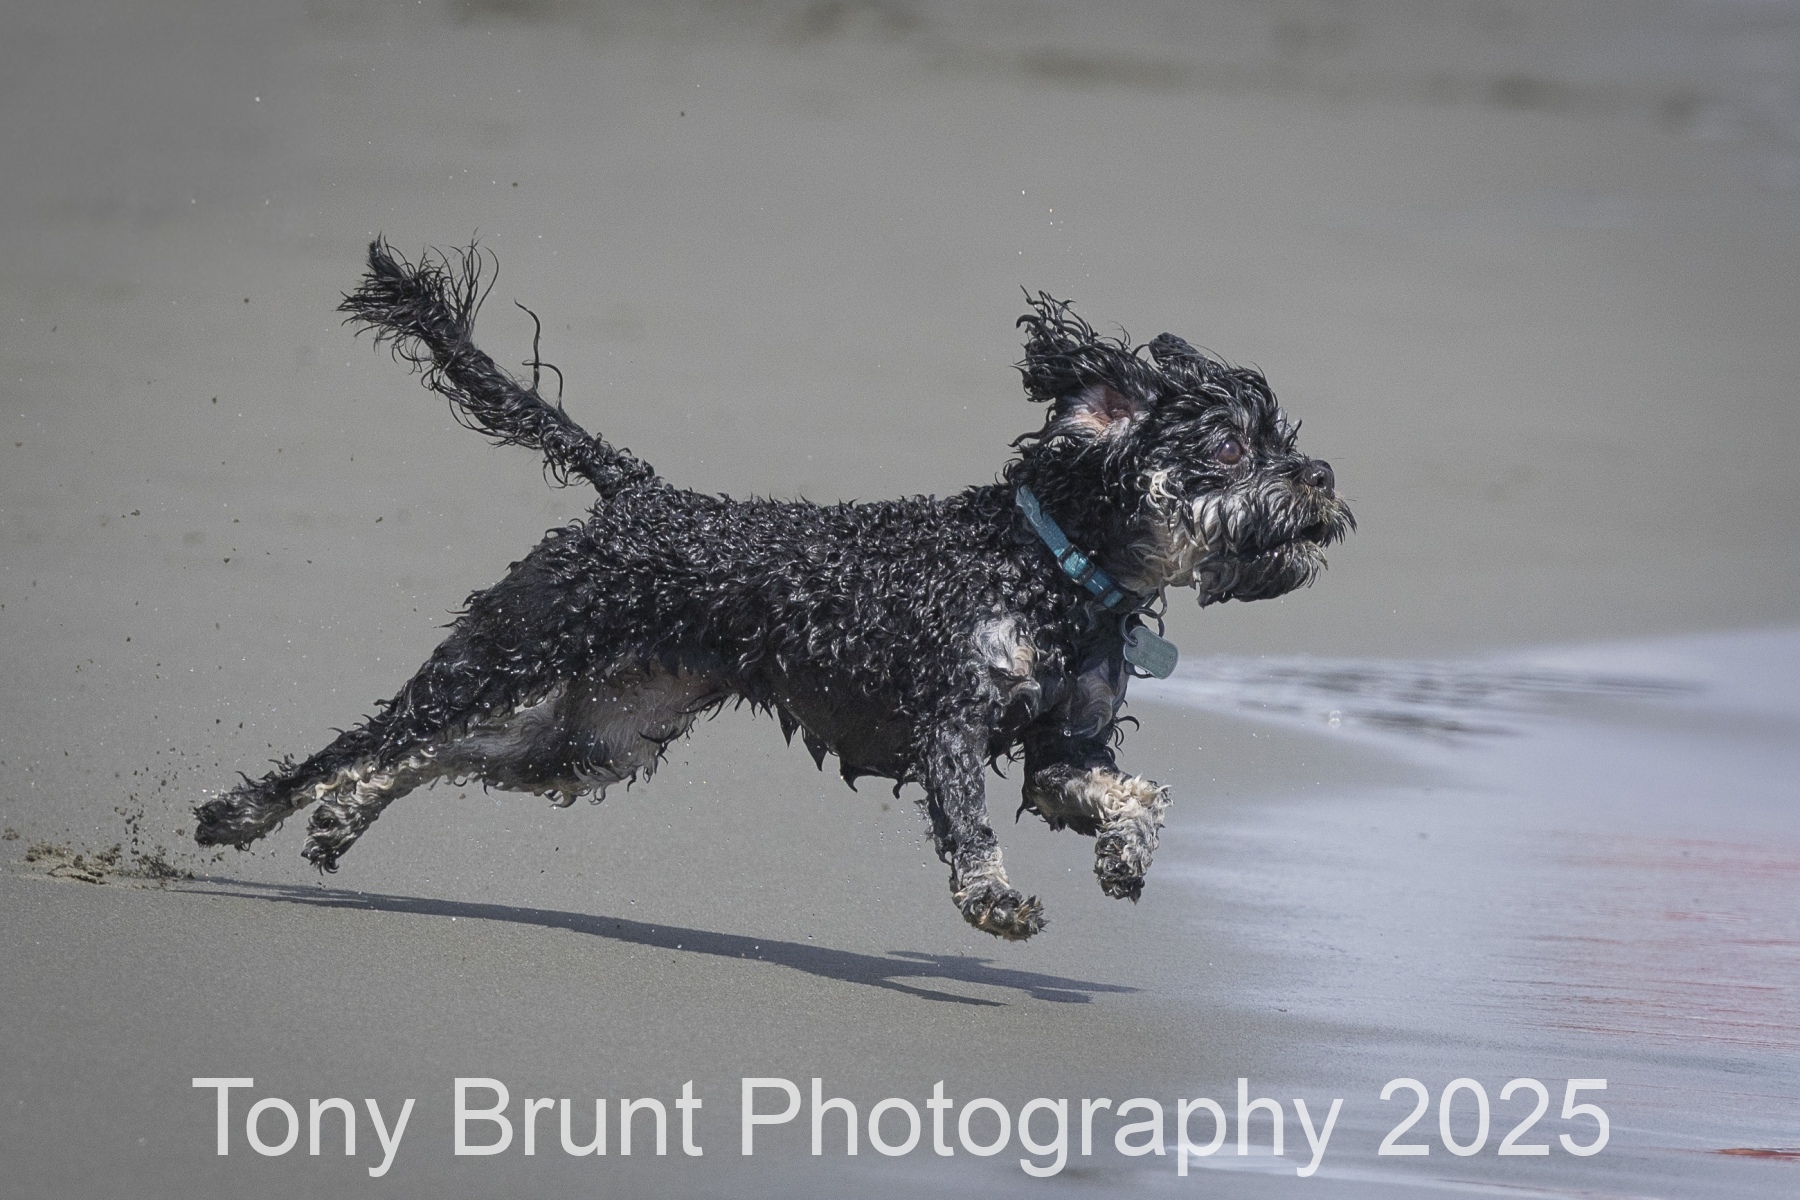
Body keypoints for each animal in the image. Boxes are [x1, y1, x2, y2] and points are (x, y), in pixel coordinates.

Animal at [194, 240, 1353, 940]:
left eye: (1281, 435)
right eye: (1229, 445)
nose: (1325, 477)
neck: (1055, 570)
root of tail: (638, 492)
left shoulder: (1062, 750)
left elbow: (1136, 794)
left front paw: (1123, 854)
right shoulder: (950, 721)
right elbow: (972, 828)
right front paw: (995, 902)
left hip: (595, 739)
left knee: (441, 755)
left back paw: (341, 825)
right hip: (506, 650)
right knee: (368, 742)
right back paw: (241, 814)